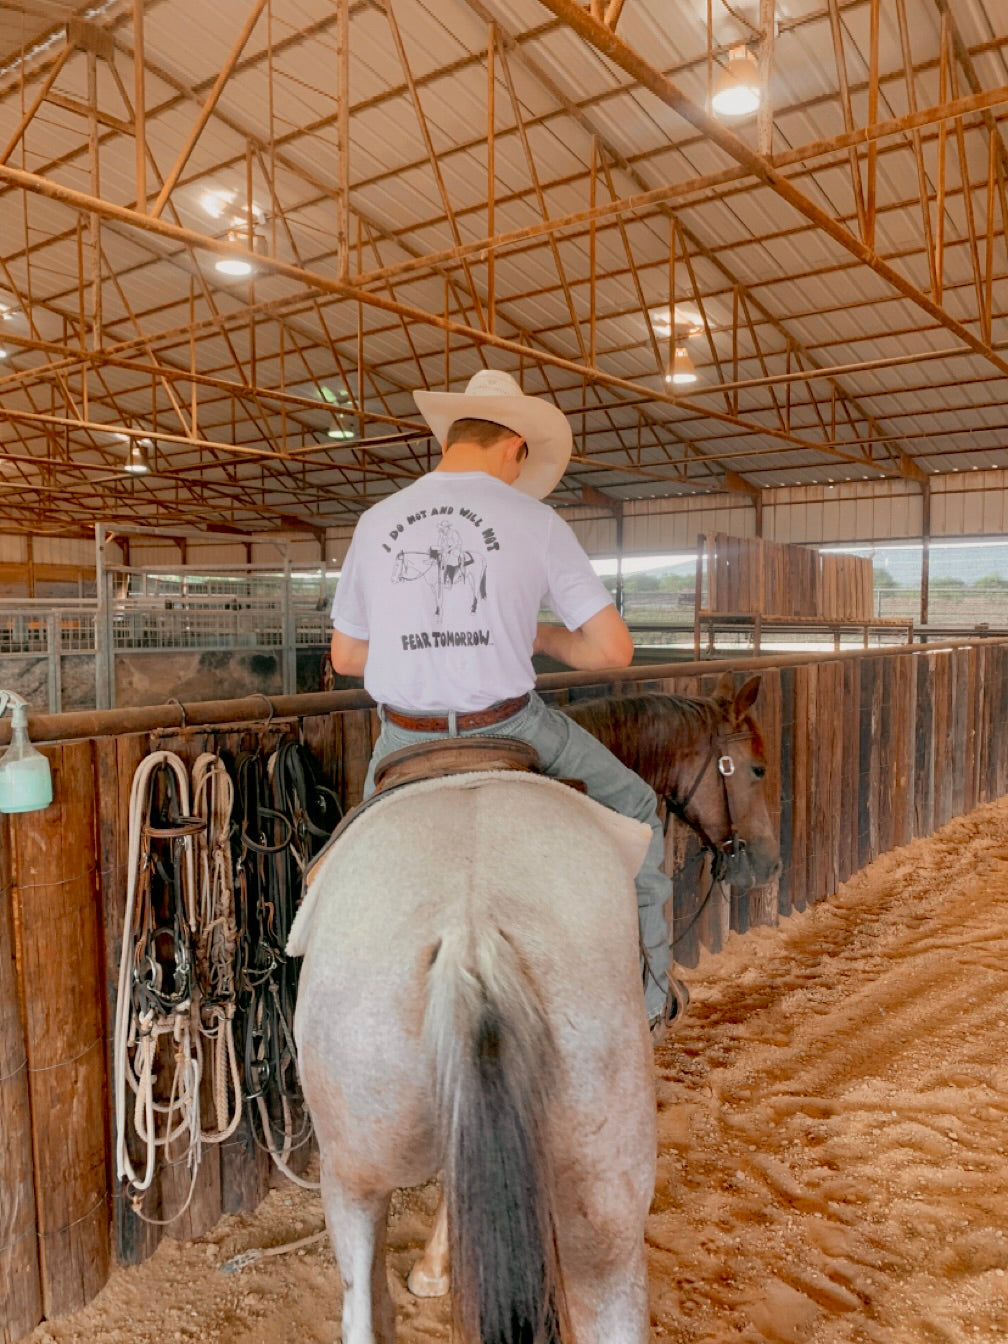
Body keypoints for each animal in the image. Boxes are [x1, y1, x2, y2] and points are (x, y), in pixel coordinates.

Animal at [286, 672, 779, 1344]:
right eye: (756, 768)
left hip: (353, 1176)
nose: (768, 863)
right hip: (606, 1217)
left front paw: (431, 1271)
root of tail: (471, 929)